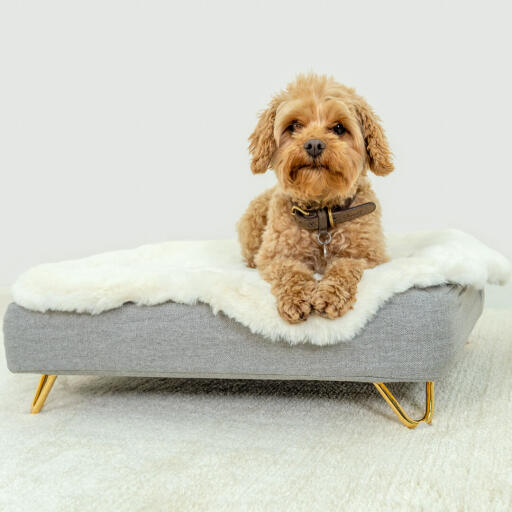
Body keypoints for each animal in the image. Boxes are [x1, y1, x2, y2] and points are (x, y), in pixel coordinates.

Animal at [238, 73, 394, 324]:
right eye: (294, 126)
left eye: (339, 128)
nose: (313, 144)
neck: (322, 212)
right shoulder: (274, 258)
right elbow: (290, 271)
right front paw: (296, 298)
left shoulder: (369, 258)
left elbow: (345, 267)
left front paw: (330, 296)